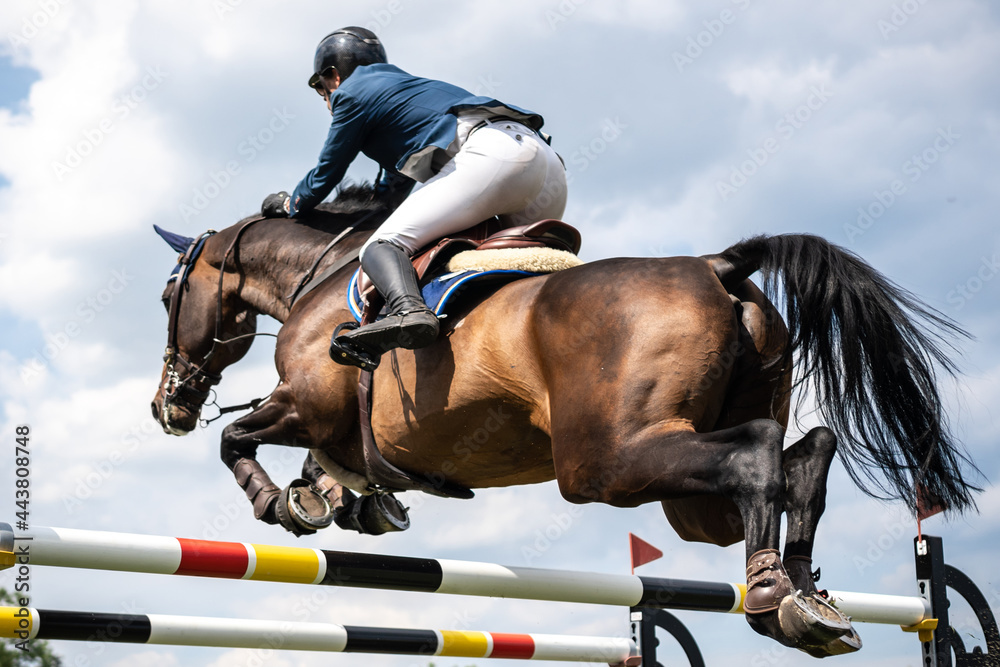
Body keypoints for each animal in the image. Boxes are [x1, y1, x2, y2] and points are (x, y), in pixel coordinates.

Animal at [148, 185, 976, 660]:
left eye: (166, 296)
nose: (168, 406)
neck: (315, 281)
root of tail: (717, 265)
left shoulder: (307, 403)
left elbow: (239, 436)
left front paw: (286, 502)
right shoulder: (336, 429)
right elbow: (334, 465)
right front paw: (349, 501)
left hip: (605, 461)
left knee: (758, 454)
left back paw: (774, 595)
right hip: (685, 499)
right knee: (802, 455)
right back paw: (806, 596)